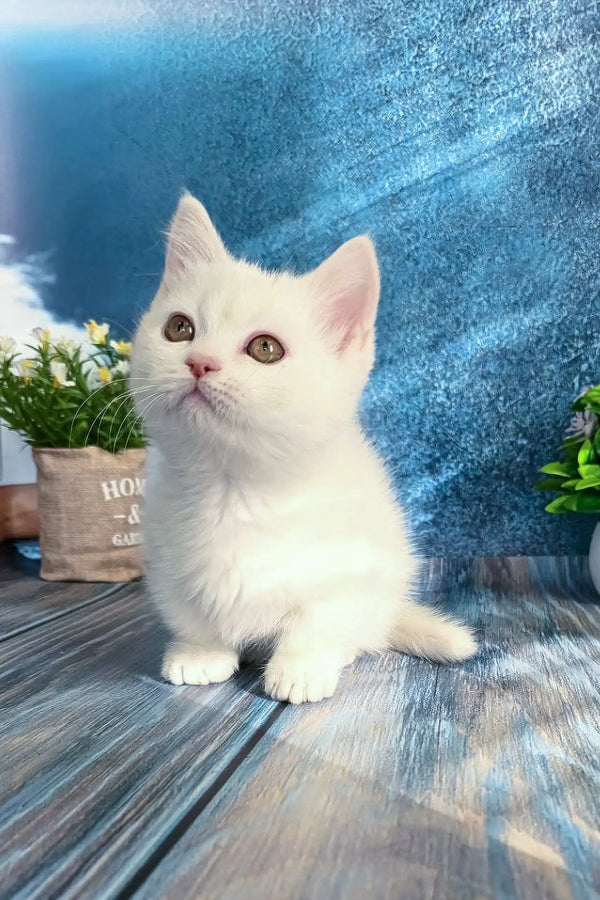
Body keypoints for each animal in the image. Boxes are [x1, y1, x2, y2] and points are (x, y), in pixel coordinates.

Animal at [132, 193, 478, 708]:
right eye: (179, 328)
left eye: (266, 349)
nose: (199, 362)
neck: (233, 487)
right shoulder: (166, 559)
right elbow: (189, 609)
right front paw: (200, 652)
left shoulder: (353, 566)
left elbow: (319, 617)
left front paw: (300, 669)